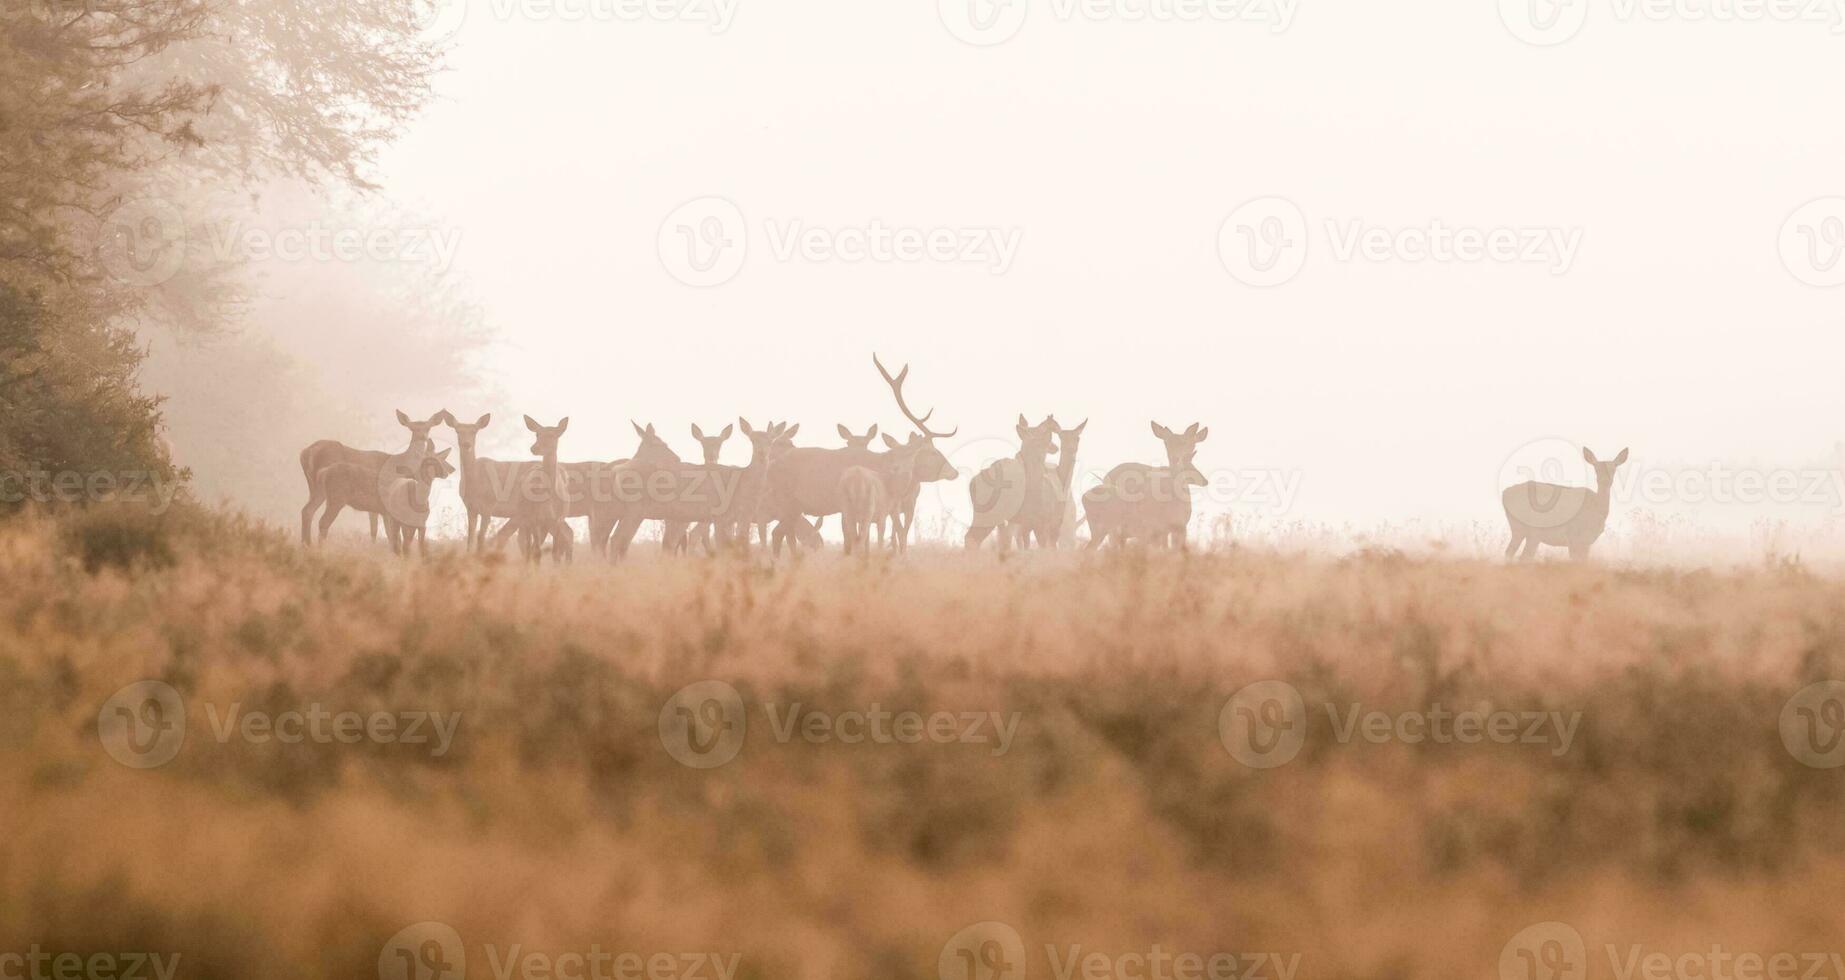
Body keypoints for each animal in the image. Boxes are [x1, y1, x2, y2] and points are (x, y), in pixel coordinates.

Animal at [302, 409, 450, 549]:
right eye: (412, 428)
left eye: (428, 427)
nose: (423, 437)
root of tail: (306, 452)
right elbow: (386, 533)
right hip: (331, 494)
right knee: (320, 519)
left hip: (316, 488)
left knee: (307, 510)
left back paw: (307, 544)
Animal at [959, 413, 1062, 553]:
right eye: (1039, 432)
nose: (1055, 447)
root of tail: (972, 484)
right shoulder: (1038, 522)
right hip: (987, 516)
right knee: (971, 538)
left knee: (973, 538)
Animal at [1498, 446, 1630, 561]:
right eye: (1596, 468)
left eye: (1614, 468)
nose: (1605, 481)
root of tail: (1504, 493)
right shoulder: (1573, 536)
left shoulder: (1586, 541)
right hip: (1533, 529)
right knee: (1524, 556)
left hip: (1518, 530)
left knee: (1509, 552)